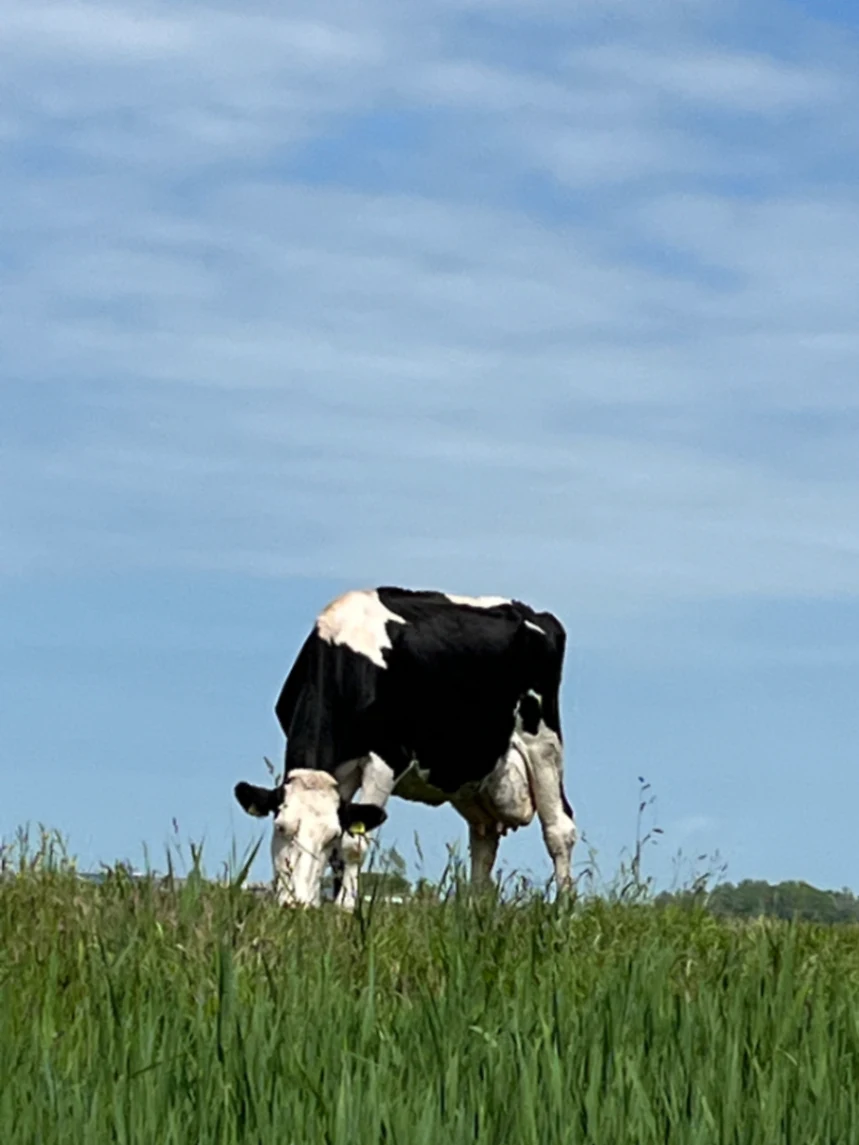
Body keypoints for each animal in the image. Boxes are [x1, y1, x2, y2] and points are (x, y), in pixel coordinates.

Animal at [233, 587, 577, 908]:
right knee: (484, 839)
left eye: (329, 835)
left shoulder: (386, 759)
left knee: (559, 830)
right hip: (472, 773)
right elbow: (341, 846)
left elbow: (354, 843)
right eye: (280, 828)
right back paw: (473, 910)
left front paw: (345, 908)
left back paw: (563, 911)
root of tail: (532, 612)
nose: (296, 904)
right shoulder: (341, 769)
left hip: (543, 745)